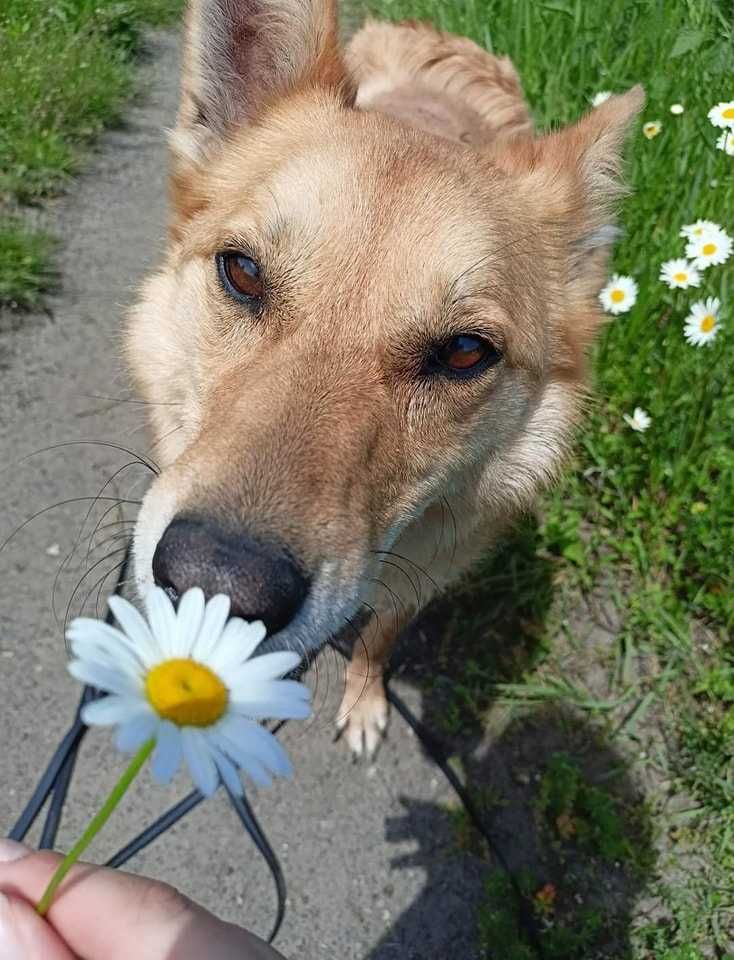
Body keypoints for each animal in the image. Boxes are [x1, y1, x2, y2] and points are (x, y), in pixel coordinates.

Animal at [126, 3, 644, 760]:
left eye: (464, 352)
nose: (215, 585)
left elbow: (380, 639)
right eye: (242, 272)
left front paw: (365, 700)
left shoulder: (421, 577)